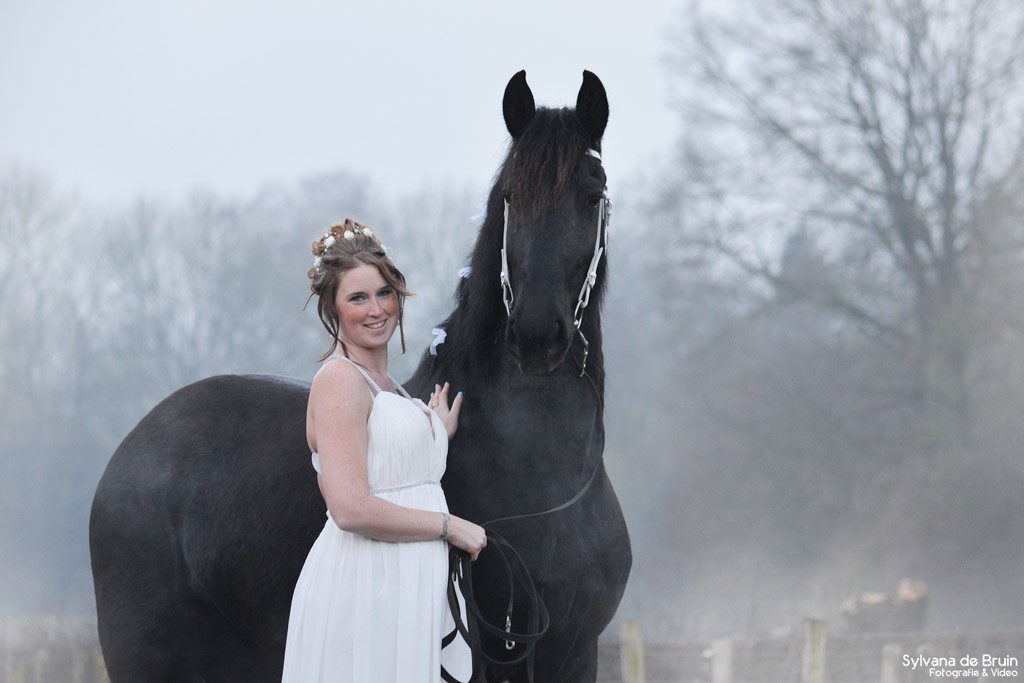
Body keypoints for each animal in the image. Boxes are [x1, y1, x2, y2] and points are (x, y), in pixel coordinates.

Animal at [90, 70, 630, 683]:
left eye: (593, 195)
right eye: (511, 195)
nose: (538, 334)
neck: (542, 478)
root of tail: (133, 448)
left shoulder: (575, 650)